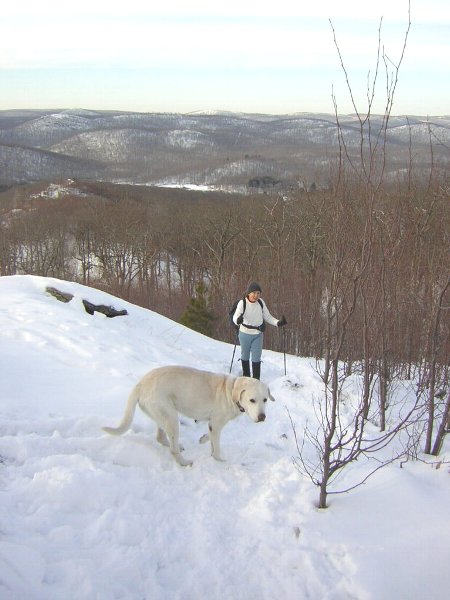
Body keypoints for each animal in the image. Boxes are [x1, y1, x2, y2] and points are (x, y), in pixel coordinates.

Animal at [103, 364, 274, 466]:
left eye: (265, 400)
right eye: (252, 400)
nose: (262, 417)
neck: (231, 391)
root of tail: (140, 384)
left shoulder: (213, 425)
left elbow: (210, 439)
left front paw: (204, 440)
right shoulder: (217, 424)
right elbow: (217, 448)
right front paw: (219, 461)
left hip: (163, 416)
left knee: (161, 438)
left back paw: (177, 445)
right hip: (171, 418)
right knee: (172, 449)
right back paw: (184, 462)